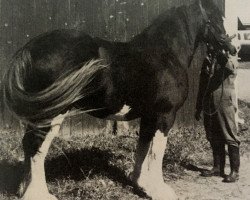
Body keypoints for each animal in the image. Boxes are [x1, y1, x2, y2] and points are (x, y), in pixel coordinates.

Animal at [2, 0, 229, 200]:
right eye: (217, 18)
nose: (231, 47)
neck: (165, 54)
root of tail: (31, 48)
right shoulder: (165, 115)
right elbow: (157, 152)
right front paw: (160, 191)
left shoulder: (149, 116)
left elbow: (143, 148)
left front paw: (141, 185)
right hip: (52, 114)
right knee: (35, 147)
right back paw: (37, 194)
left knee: (28, 146)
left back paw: (24, 189)